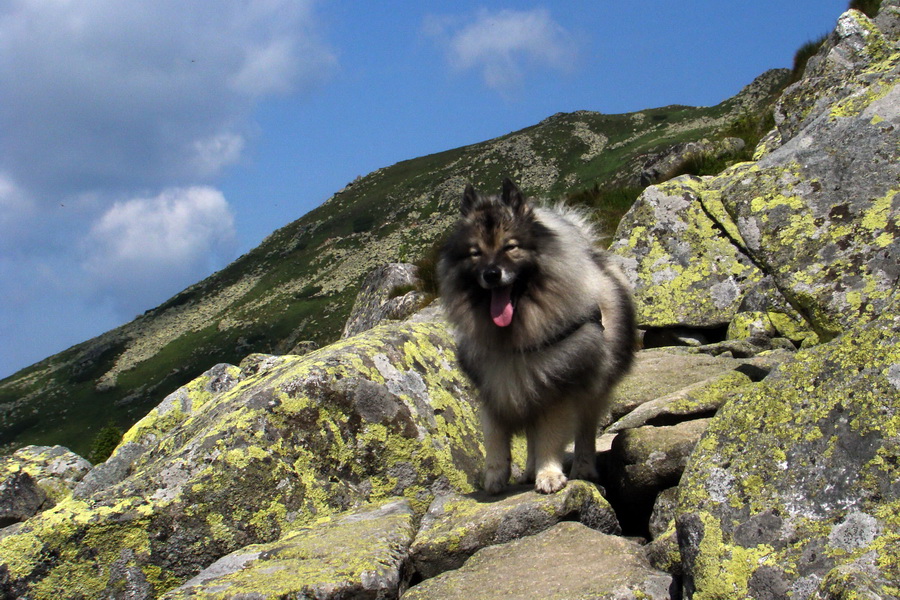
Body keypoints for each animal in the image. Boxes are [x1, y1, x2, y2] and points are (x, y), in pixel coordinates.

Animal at [440, 177, 636, 492]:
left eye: (510, 247)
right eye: (475, 252)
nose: (491, 274)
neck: (516, 336)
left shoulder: (557, 387)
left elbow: (550, 438)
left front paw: (549, 475)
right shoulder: (497, 386)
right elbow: (494, 438)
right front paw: (494, 477)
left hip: (591, 389)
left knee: (584, 432)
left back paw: (582, 467)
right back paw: (530, 470)